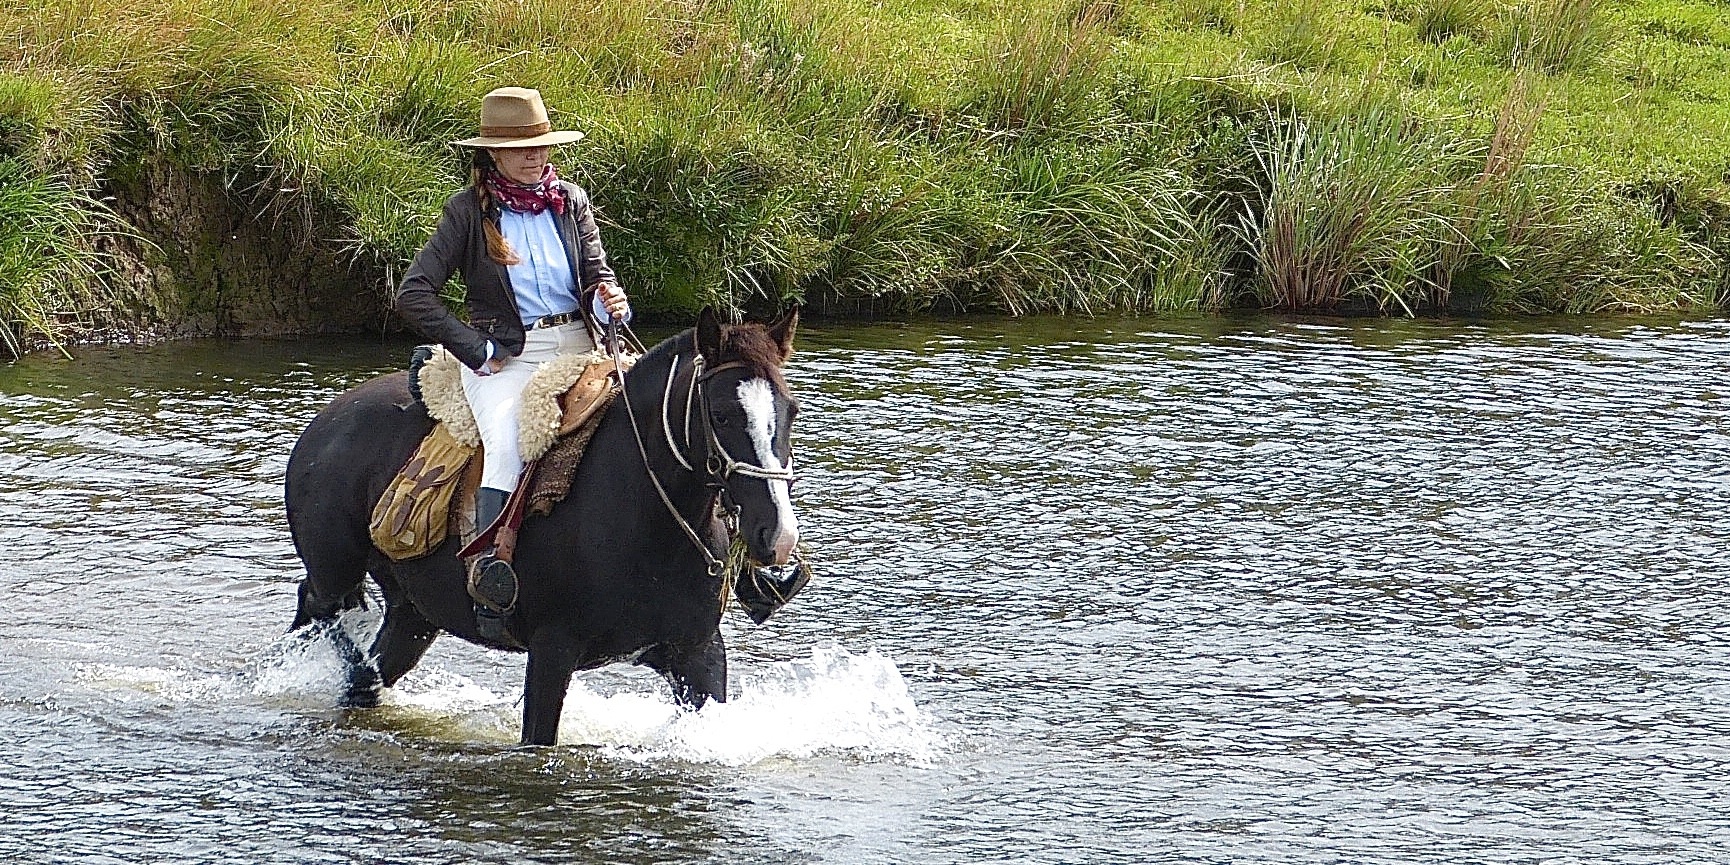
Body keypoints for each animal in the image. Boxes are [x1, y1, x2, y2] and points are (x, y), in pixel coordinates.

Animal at [283, 308, 802, 745]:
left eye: (790, 410)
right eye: (721, 414)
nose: (777, 536)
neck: (646, 519)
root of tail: (326, 421)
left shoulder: (699, 653)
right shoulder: (552, 653)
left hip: (414, 614)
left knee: (366, 674)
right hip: (335, 574)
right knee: (316, 607)